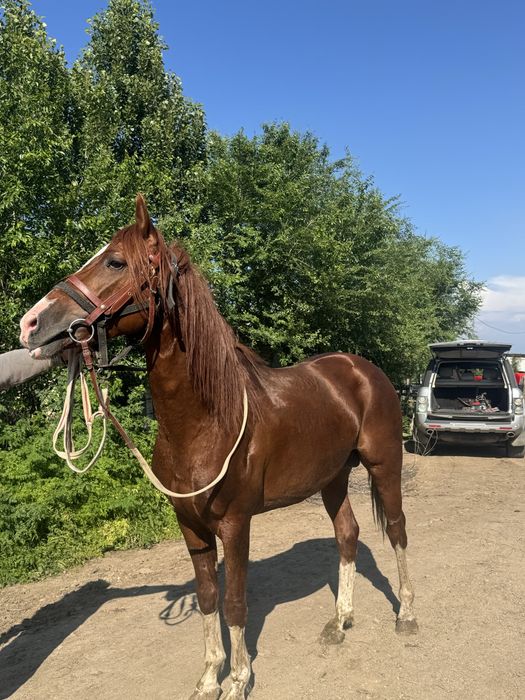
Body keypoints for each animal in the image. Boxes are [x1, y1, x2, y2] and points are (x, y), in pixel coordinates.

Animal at [20, 195, 418, 699]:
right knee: (347, 534)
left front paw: (239, 680)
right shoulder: (191, 528)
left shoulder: (235, 525)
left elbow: (234, 603)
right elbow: (208, 599)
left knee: (398, 531)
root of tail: (365, 370)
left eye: (114, 262)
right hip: (333, 477)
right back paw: (339, 621)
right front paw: (210, 677)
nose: (31, 323)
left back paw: (406, 614)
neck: (206, 423)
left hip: (384, 465)